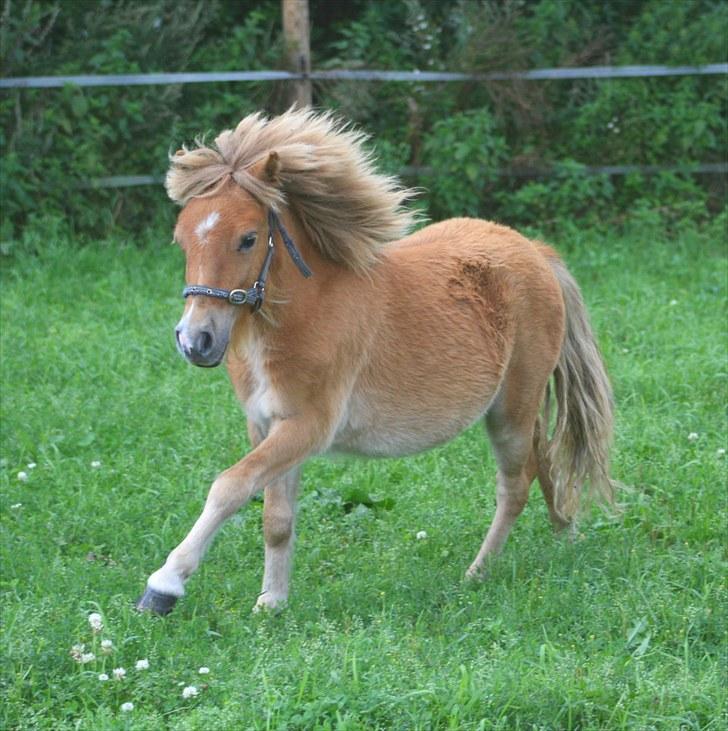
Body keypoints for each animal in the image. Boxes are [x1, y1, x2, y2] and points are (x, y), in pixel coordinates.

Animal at [135, 106, 616, 616]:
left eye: (247, 239)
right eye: (181, 240)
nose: (195, 340)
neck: (304, 314)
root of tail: (537, 253)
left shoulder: (307, 426)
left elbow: (229, 487)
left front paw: (164, 586)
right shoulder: (268, 426)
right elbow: (276, 518)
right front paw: (272, 602)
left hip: (511, 411)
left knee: (515, 484)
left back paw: (478, 572)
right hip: (517, 407)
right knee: (545, 459)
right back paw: (566, 535)